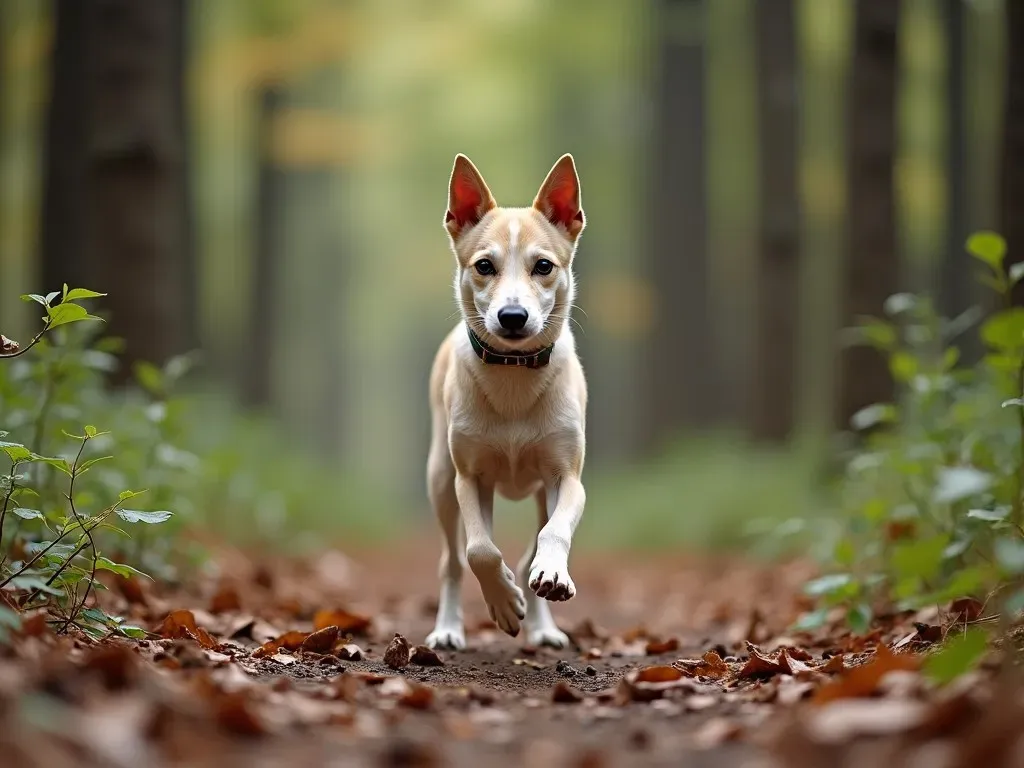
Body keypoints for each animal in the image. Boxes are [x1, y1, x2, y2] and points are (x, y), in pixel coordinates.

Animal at [423, 153, 589, 651]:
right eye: (484, 265)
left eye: (543, 266)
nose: (512, 316)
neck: (514, 372)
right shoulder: (469, 477)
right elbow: (479, 550)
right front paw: (502, 602)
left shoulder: (566, 475)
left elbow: (554, 529)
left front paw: (549, 577)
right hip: (440, 479)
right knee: (453, 560)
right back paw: (448, 629)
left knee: (534, 537)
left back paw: (543, 624)